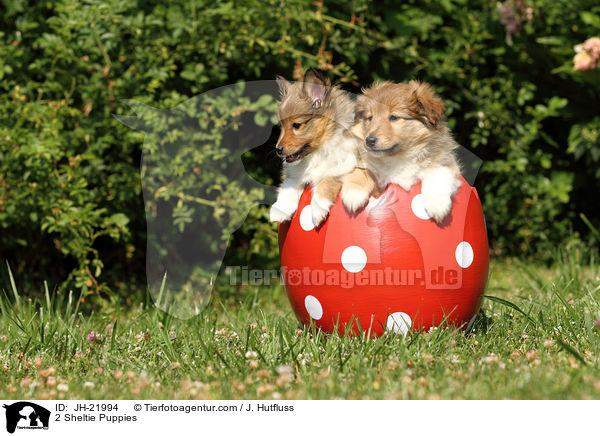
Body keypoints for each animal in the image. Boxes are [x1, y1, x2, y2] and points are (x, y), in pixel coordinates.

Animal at [268, 69, 368, 225]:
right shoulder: (295, 173)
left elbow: (326, 181)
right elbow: (288, 186)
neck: (318, 152)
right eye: (281, 126)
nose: (278, 150)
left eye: (297, 125)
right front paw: (280, 210)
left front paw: (317, 209)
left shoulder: (342, 167)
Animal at [352, 80, 464, 223]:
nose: (369, 140)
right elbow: (361, 170)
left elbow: (439, 172)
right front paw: (354, 194)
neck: (399, 157)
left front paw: (438, 206)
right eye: (370, 118)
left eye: (394, 117)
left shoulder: (447, 163)